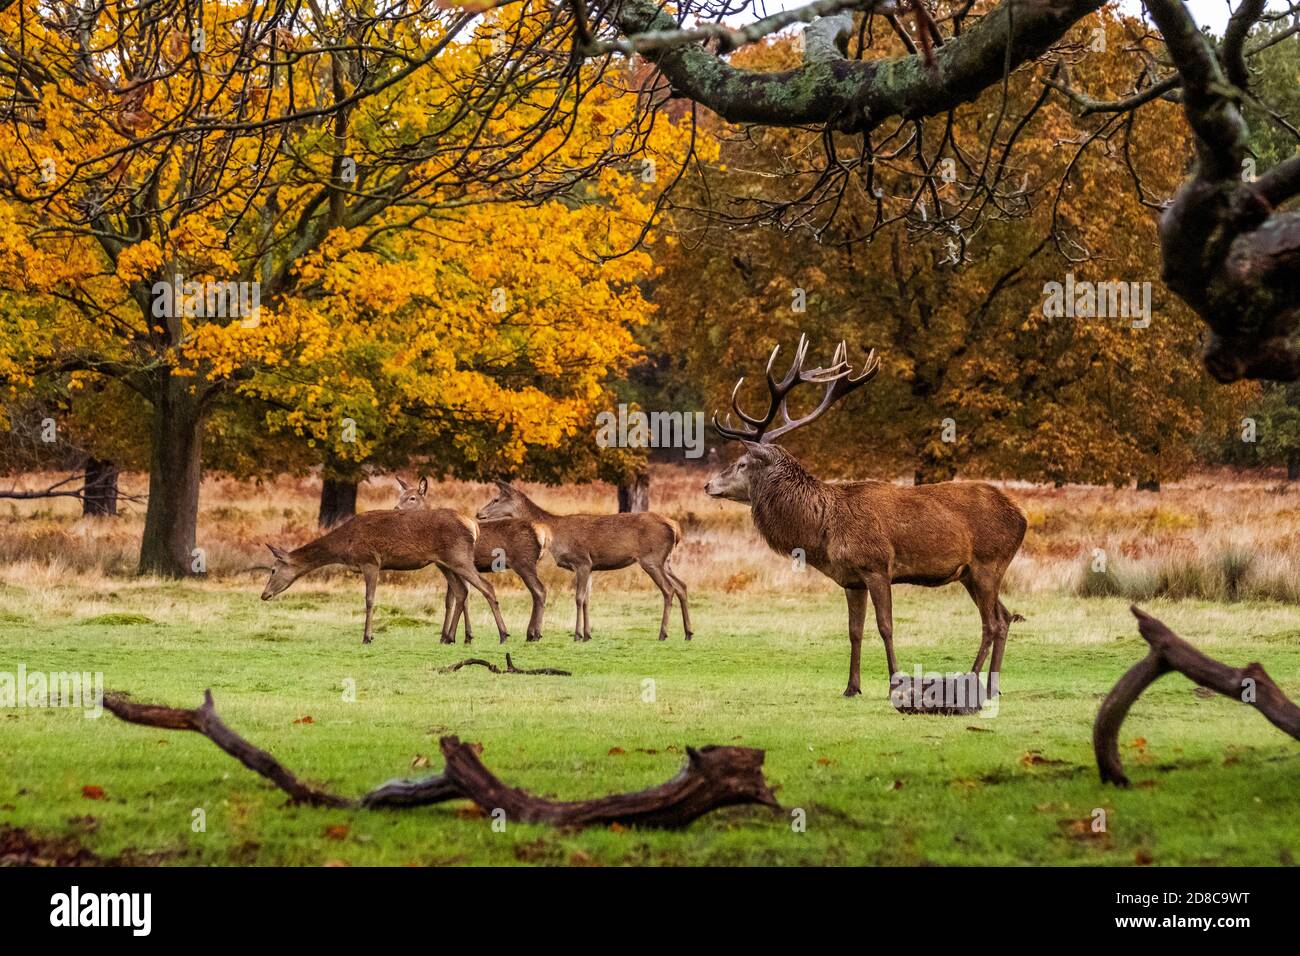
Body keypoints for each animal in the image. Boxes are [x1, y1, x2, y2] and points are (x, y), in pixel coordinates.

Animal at [261, 504, 509, 647]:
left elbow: (370, 600)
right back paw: (449, 637)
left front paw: (367, 637)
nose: (264, 595)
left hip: (459, 557)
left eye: (273, 570)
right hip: (444, 562)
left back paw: (503, 634)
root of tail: (474, 526)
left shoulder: (370, 561)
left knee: (486, 587)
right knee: (461, 592)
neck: (345, 545)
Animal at [387, 478, 546, 642]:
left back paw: (534, 634)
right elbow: (452, 600)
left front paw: (455, 636)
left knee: (539, 591)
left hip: (524, 562)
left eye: (412, 498)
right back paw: (531, 633)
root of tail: (540, 533)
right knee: (536, 593)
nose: (395, 508)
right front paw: (460, 635)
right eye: (400, 496)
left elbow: (458, 598)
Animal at [470, 486, 691, 642]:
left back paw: (663, 633)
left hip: (651, 559)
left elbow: (578, 598)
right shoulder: (591, 566)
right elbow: (587, 599)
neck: (554, 532)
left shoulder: (581, 561)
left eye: (496, 499)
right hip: (666, 560)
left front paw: (577, 635)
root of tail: (675, 527)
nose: (479, 513)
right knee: (682, 586)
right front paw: (587, 634)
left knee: (669, 589)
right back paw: (688, 632)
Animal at [702, 335, 1024, 697]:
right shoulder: (851, 578)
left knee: (992, 622)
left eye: (742, 463)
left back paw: (973, 680)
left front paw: (895, 683)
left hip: (989, 563)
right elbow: (854, 631)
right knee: (1005, 616)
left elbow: (885, 626)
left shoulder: (877, 565)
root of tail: (1021, 517)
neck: (823, 530)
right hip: (971, 573)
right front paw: (851, 686)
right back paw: (992, 686)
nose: (708, 484)